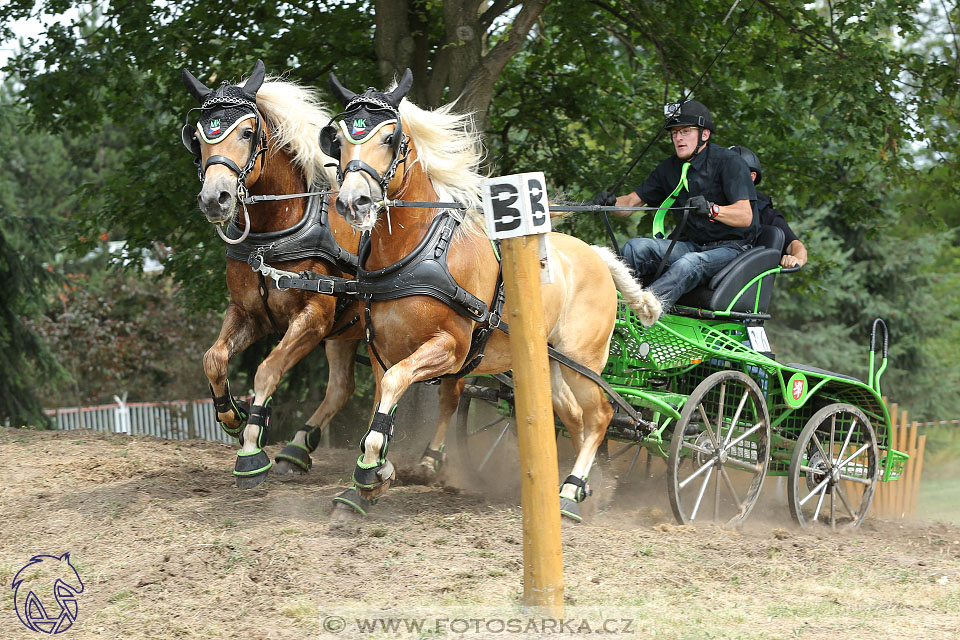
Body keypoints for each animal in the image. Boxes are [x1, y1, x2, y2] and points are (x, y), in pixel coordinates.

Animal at [181, 62, 364, 488]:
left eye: (247, 133)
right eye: (197, 137)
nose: (214, 199)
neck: (271, 236)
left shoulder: (314, 318)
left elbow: (267, 370)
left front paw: (251, 449)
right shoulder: (250, 314)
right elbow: (213, 358)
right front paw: (232, 417)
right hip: (349, 332)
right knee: (343, 387)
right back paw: (298, 450)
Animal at [320, 71, 660, 520]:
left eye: (391, 138)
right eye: (338, 140)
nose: (352, 203)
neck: (415, 253)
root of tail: (598, 256)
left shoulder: (450, 348)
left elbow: (396, 386)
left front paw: (374, 470)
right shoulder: (383, 351)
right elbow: (383, 400)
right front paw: (366, 483)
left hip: (583, 361)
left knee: (600, 416)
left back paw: (571, 493)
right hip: (547, 363)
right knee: (573, 417)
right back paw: (582, 485)